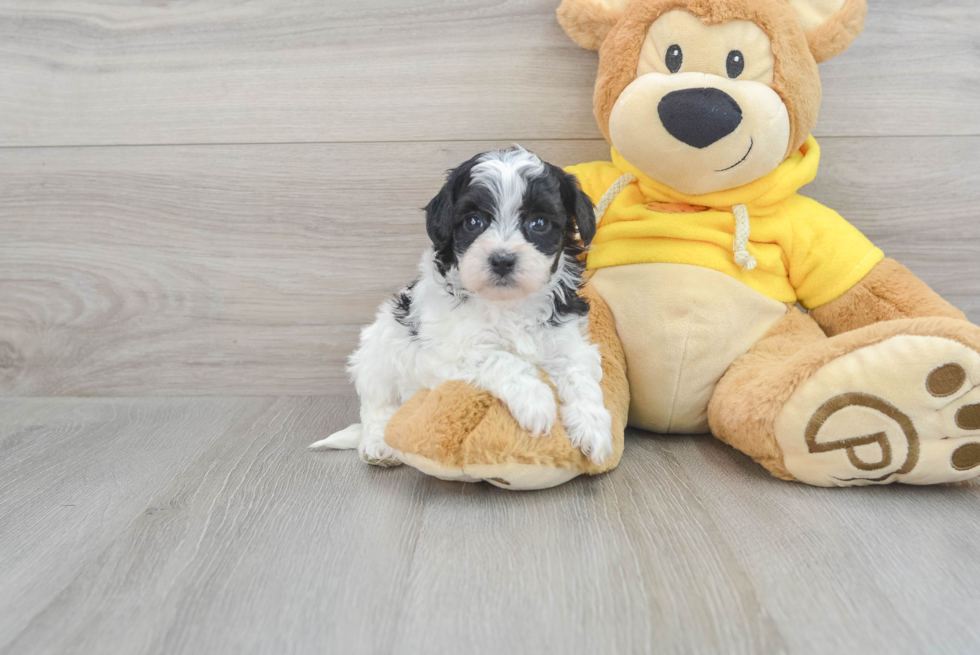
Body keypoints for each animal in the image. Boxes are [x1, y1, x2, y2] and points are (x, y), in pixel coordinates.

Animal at [308, 147, 612, 466]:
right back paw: (378, 444)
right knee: (377, 406)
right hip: (376, 354)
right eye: (473, 222)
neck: (506, 303)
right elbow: (501, 358)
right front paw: (536, 400)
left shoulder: (566, 340)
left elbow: (579, 374)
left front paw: (593, 426)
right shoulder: (449, 352)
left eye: (539, 223)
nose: (502, 260)